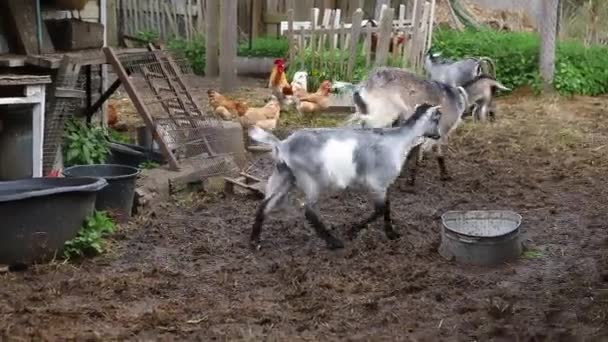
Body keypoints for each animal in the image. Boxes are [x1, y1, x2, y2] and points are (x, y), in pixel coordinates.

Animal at [247, 103, 442, 250]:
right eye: (437, 118)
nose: (438, 135)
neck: (398, 141)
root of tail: (282, 145)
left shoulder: (384, 185)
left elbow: (387, 206)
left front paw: (391, 233)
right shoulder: (377, 183)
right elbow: (380, 209)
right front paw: (353, 231)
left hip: (285, 177)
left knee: (265, 205)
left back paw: (255, 242)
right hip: (309, 180)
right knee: (309, 211)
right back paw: (334, 242)